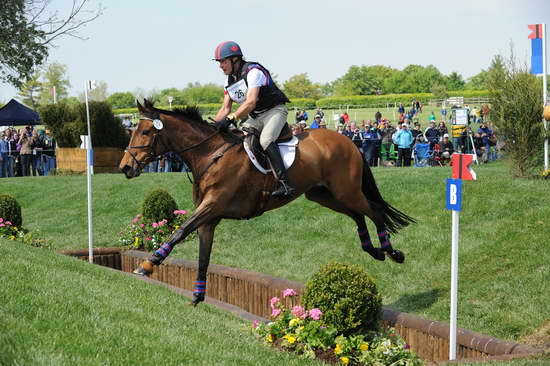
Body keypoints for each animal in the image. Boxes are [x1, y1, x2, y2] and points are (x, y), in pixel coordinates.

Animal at [119, 100, 414, 306]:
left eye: (146, 131)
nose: (125, 168)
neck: (210, 154)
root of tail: (347, 140)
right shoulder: (209, 218)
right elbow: (203, 256)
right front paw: (197, 296)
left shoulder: (212, 206)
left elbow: (180, 230)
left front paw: (148, 265)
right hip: (324, 195)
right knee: (358, 215)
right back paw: (374, 250)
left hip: (345, 191)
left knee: (374, 211)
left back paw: (392, 252)